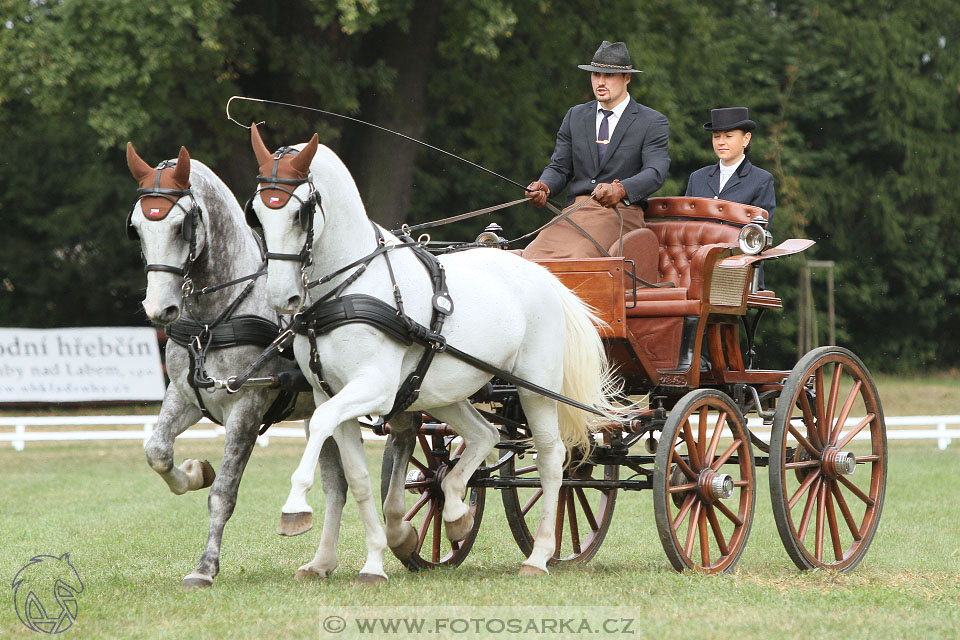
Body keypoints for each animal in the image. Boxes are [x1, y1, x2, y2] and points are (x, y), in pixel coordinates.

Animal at [124, 145, 348, 592]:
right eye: (137, 228)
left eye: (180, 227)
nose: (159, 309)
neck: (214, 317)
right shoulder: (185, 395)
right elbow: (157, 452)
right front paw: (194, 472)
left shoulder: (247, 405)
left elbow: (224, 492)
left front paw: (205, 567)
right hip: (318, 410)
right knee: (337, 484)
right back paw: (321, 563)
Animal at [248, 125, 624, 580]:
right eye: (256, 212)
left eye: (299, 213)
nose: (281, 297)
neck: (348, 290)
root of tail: (542, 275)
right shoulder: (330, 393)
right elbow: (357, 478)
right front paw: (375, 561)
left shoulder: (374, 388)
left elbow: (323, 427)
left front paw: (294, 508)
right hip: (444, 392)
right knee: (485, 434)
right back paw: (457, 514)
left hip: (536, 388)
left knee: (552, 460)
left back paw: (538, 557)